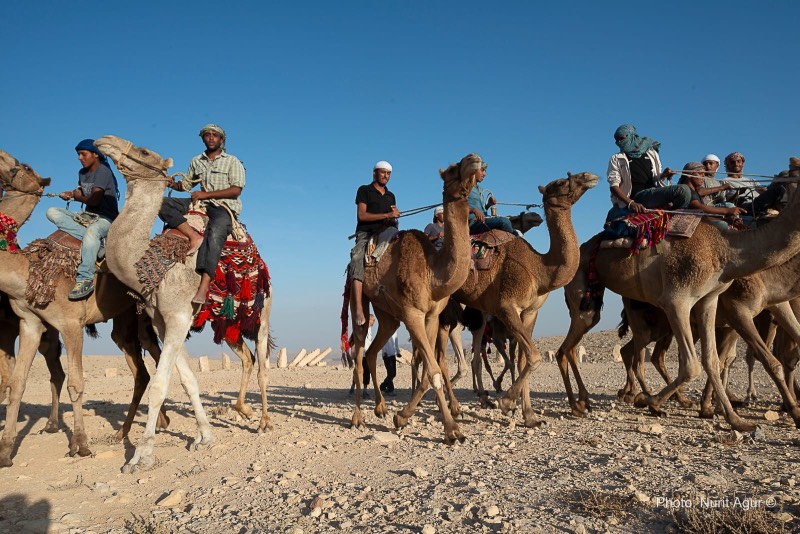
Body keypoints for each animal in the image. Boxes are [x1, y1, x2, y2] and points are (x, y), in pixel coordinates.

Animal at [94, 136, 272, 476]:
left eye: (144, 151)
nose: (104, 141)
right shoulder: (164, 322)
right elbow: (188, 380)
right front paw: (205, 437)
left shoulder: (178, 316)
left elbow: (159, 385)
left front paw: (140, 456)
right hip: (226, 321)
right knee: (246, 357)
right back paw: (243, 410)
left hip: (264, 309)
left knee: (262, 360)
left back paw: (264, 422)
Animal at [350, 152, 482, 444]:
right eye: (453, 168)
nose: (475, 159)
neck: (433, 272)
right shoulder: (413, 314)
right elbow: (433, 371)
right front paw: (452, 430)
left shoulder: (432, 316)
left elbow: (430, 371)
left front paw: (402, 417)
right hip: (357, 293)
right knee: (359, 348)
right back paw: (357, 417)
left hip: (388, 316)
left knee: (374, 351)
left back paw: (380, 407)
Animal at [556, 161, 800, 434]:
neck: (727, 252)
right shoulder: (679, 300)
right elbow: (693, 365)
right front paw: (652, 403)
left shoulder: (709, 301)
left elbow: (712, 360)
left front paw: (735, 419)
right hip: (590, 293)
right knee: (590, 346)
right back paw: (595, 401)